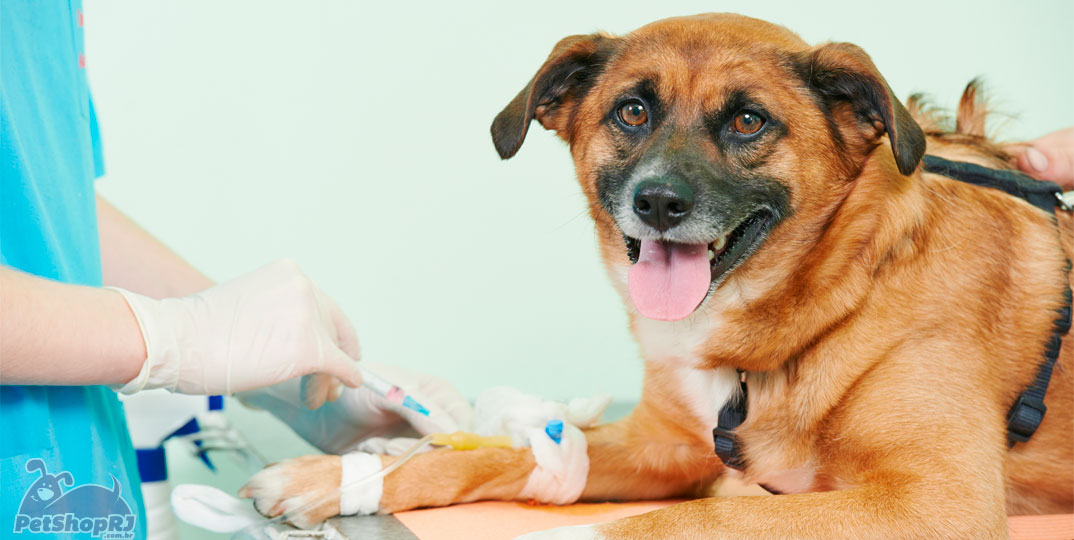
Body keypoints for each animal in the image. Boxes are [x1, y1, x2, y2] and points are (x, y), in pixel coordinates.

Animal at [243, 13, 1074, 540]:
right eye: (633, 112)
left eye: (748, 122)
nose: (659, 202)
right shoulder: (660, 449)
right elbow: (513, 455)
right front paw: (334, 476)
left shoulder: (935, 503)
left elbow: (700, 516)